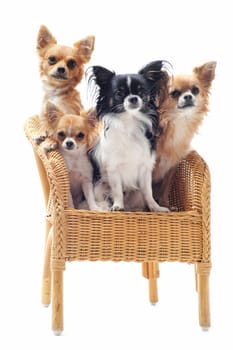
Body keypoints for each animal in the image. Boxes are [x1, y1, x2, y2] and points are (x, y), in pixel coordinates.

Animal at [86, 61, 170, 212]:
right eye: (119, 93)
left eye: (142, 92)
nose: (133, 98)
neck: (130, 121)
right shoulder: (113, 169)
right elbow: (117, 190)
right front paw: (118, 206)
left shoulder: (145, 169)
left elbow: (148, 192)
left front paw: (156, 208)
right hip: (99, 186)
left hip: (136, 193)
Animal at [153, 61, 217, 206]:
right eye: (174, 93)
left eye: (195, 90)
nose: (188, 96)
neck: (177, 122)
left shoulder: (172, 164)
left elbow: (166, 186)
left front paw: (164, 203)